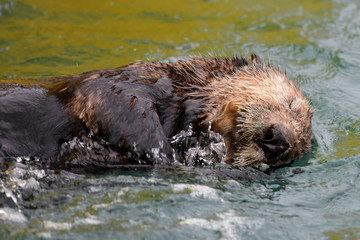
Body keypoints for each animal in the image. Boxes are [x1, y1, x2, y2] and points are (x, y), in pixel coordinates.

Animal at [0, 53, 312, 170]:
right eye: (289, 104)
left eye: (298, 147)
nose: (280, 141)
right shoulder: (128, 82)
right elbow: (123, 105)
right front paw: (164, 153)